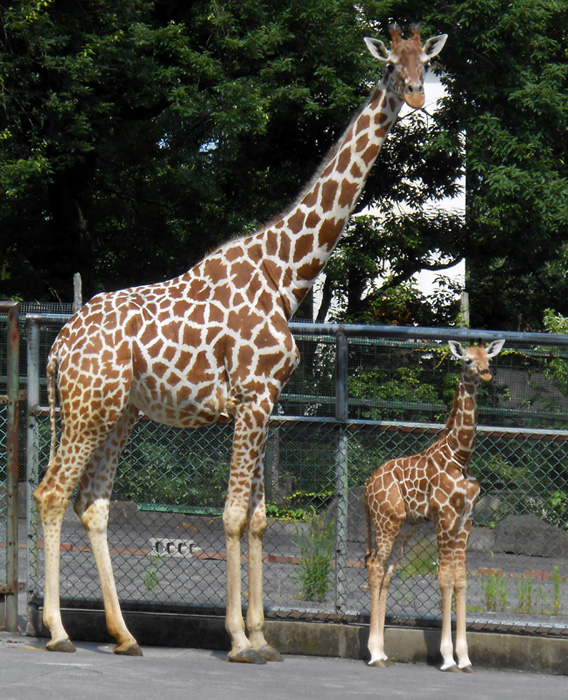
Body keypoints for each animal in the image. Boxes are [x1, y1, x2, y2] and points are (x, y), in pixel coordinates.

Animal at [35, 26, 448, 660]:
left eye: (424, 61)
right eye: (390, 65)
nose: (416, 95)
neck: (287, 274)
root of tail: (59, 343)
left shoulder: (266, 401)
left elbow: (256, 520)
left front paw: (261, 636)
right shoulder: (252, 397)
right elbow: (230, 516)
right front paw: (235, 638)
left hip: (119, 412)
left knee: (93, 503)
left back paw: (125, 635)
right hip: (87, 407)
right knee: (53, 493)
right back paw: (58, 631)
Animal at [362, 340, 504, 672]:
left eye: (488, 358)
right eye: (467, 360)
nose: (485, 373)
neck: (460, 456)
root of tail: (366, 485)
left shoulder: (466, 519)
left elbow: (461, 579)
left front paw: (465, 658)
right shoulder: (445, 516)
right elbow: (444, 578)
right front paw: (448, 658)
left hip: (405, 525)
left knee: (387, 570)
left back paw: (383, 652)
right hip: (385, 520)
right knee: (374, 565)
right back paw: (373, 654)